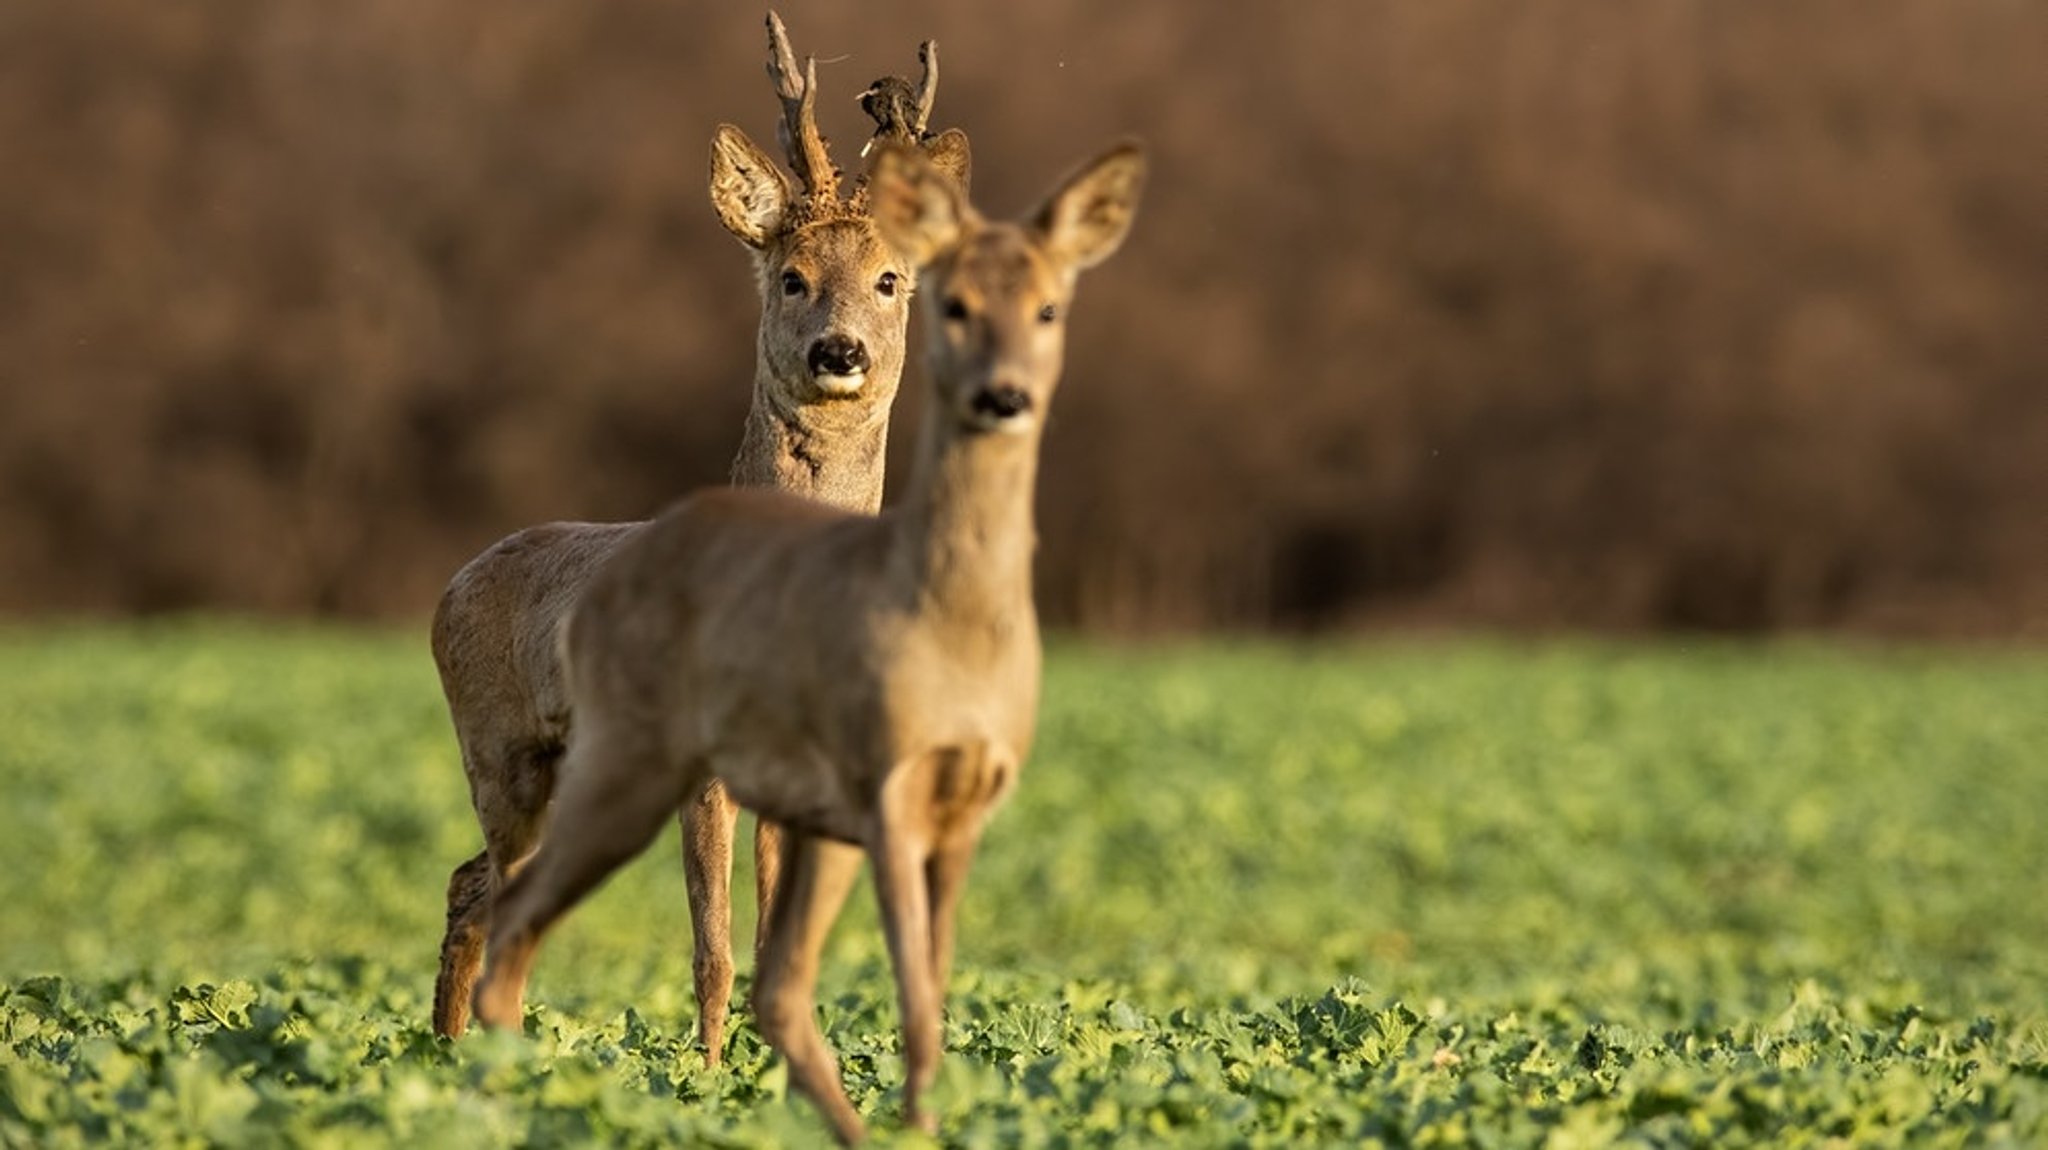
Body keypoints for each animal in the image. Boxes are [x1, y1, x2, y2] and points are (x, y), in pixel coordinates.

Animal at [428, 11, 970, 1047]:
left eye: (890, 279)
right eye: (793, 277)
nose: (838, 350)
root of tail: (452, 583)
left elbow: (771, 942)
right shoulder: (702, 757)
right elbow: (712, 950)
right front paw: (708, 1070)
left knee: (476, 887)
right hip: (499, 745)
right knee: (491, 890)